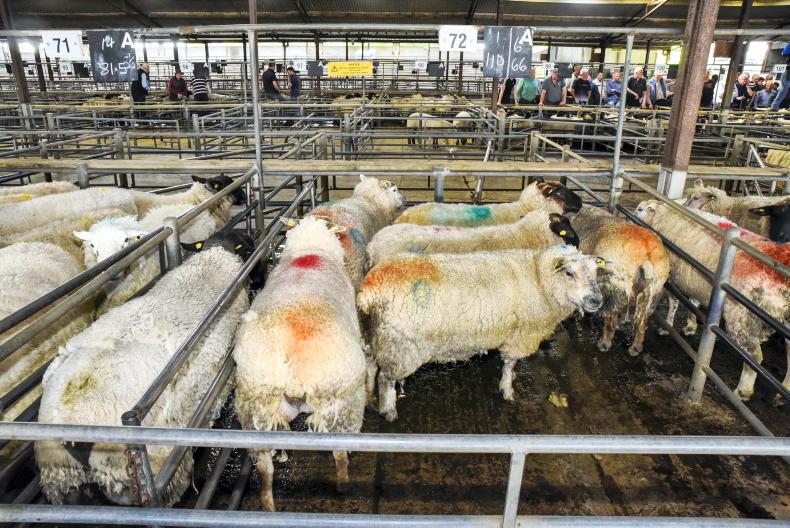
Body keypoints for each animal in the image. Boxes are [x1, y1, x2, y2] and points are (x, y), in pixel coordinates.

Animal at [233, 217, 365, 512]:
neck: (310, 253)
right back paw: (344, 483)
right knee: (339, 452)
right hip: (342, 400)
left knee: (264, 469)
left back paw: (270, 502)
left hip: (257, 409)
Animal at [358, 246, 607, 421]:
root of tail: (370, 289)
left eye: (596, 273)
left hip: (378, 332)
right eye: (569, 273)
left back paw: (369, 397)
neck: (538, 277)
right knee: (386, 377)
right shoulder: (521, 335)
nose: (596, 300)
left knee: (370, 360)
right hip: (401, 343)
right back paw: (388, 410)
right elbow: (510, 363)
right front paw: (507, 389)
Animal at [571, 206, 670, 356]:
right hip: (654, 292)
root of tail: (647, 253)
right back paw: (636, 347)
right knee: (643, 322)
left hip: (616, 286)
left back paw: (604, 343)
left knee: (610, 321)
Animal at [635, 200, 789, 401]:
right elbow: (692, 303)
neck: (662, 214)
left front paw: (666, 326)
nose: (632, 214)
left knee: (754, 355)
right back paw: (784, 390)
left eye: (639, 209)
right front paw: (690, 326)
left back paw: (742, 391)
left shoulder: (673, 273)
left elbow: (674, 301)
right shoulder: (691, 277)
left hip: (742, 317)